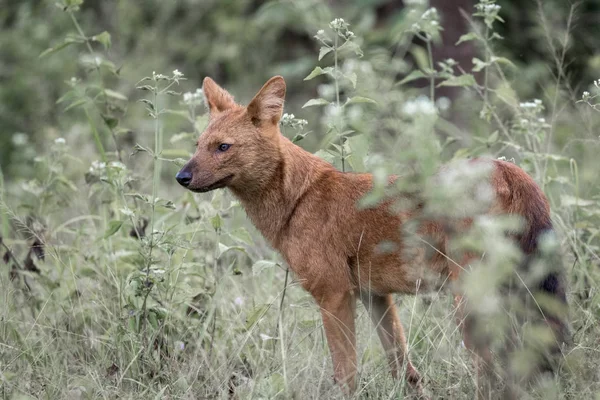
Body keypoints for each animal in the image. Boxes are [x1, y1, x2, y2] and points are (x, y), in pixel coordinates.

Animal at [177, 76, 568, 398]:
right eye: (197, 145)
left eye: (223, 147)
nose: (182, 176)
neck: (296, 198)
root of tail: (507, 168)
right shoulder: (374, 295)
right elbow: (402, 366)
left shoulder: (334, 294)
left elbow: (346, 373)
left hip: (471, 300)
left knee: (493, 370)